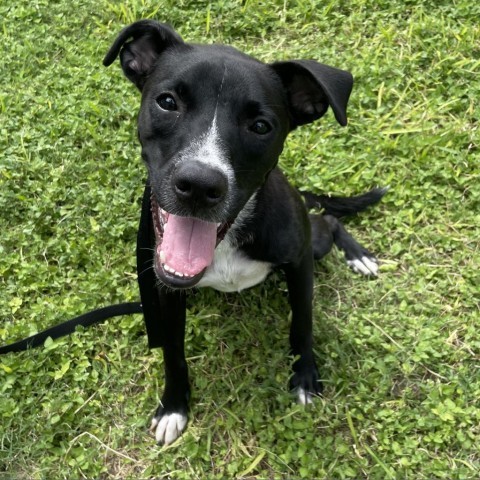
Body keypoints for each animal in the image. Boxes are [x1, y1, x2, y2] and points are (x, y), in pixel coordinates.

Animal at [103, 20, 384, 444]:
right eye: (167, 102)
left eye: (260, 126)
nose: (199, 185)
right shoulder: (165, 290)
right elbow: (172, 352)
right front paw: (174, 406)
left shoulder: (299, 263)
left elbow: (302, 324)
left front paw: (305, 376)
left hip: (313, 241)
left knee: (329, 221)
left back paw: (359, 256)